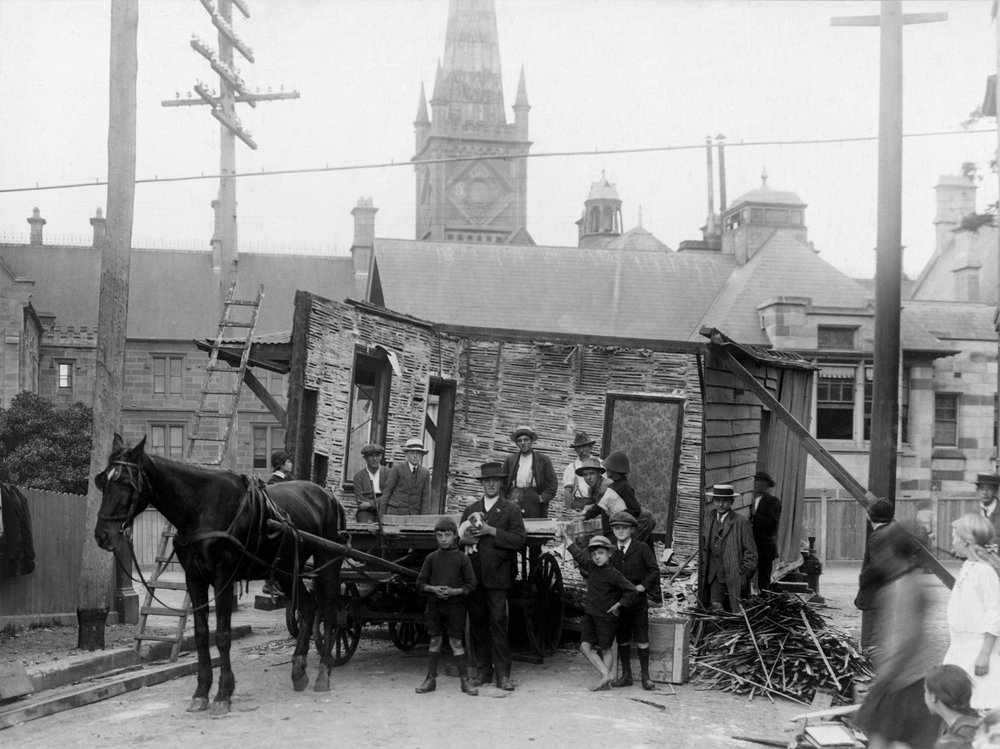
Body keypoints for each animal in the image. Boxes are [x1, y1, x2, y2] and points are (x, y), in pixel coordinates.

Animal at [94, 436, 344, 716]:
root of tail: (328, 495)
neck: (200, 507)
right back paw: (298, 669)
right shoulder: (195, 579)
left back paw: (324, 671)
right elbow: (202, 635)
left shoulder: (223, 578)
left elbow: (223, 636)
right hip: (286, 569)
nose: (102, 534)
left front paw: (223, 693)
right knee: (309, 607)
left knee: (329, 611)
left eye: (127, 483)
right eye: (102, 480)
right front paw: (201, 691)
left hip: (327, 562)